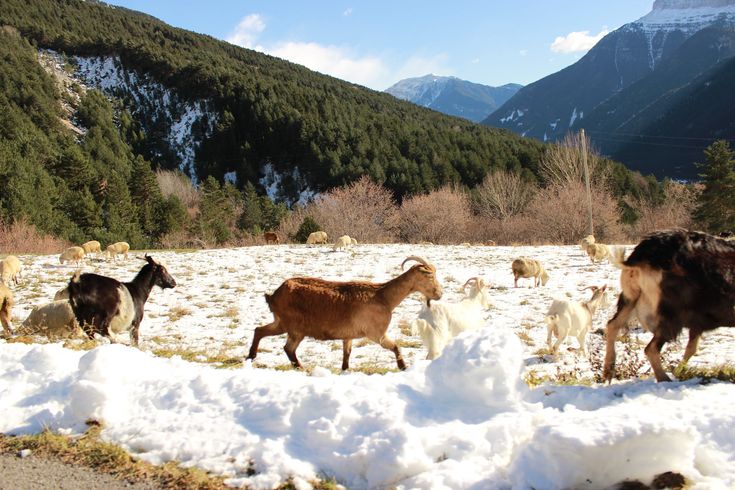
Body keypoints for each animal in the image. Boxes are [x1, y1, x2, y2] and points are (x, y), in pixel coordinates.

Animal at [246, 256, 442, 372]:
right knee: (288, 348)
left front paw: (345, 369)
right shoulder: (376, 333)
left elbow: (347, 353)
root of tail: (274, 295)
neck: (383, 296)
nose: (439, 294)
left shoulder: (348, 335)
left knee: (260, 330)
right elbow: (395, 347)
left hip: (281, 323)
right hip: (295, 328)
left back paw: (251, 356)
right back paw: (300, 367)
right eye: (429, 276)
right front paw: (403, 367)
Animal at [604, 230, 735, 382]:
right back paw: (664, 378)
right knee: (651, 348)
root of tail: (640, 259)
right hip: (671, 313)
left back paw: (608, 370)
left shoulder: (698, 322)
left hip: (630, 298)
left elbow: (691, 348)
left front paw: (679, 371)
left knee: (613, 325)